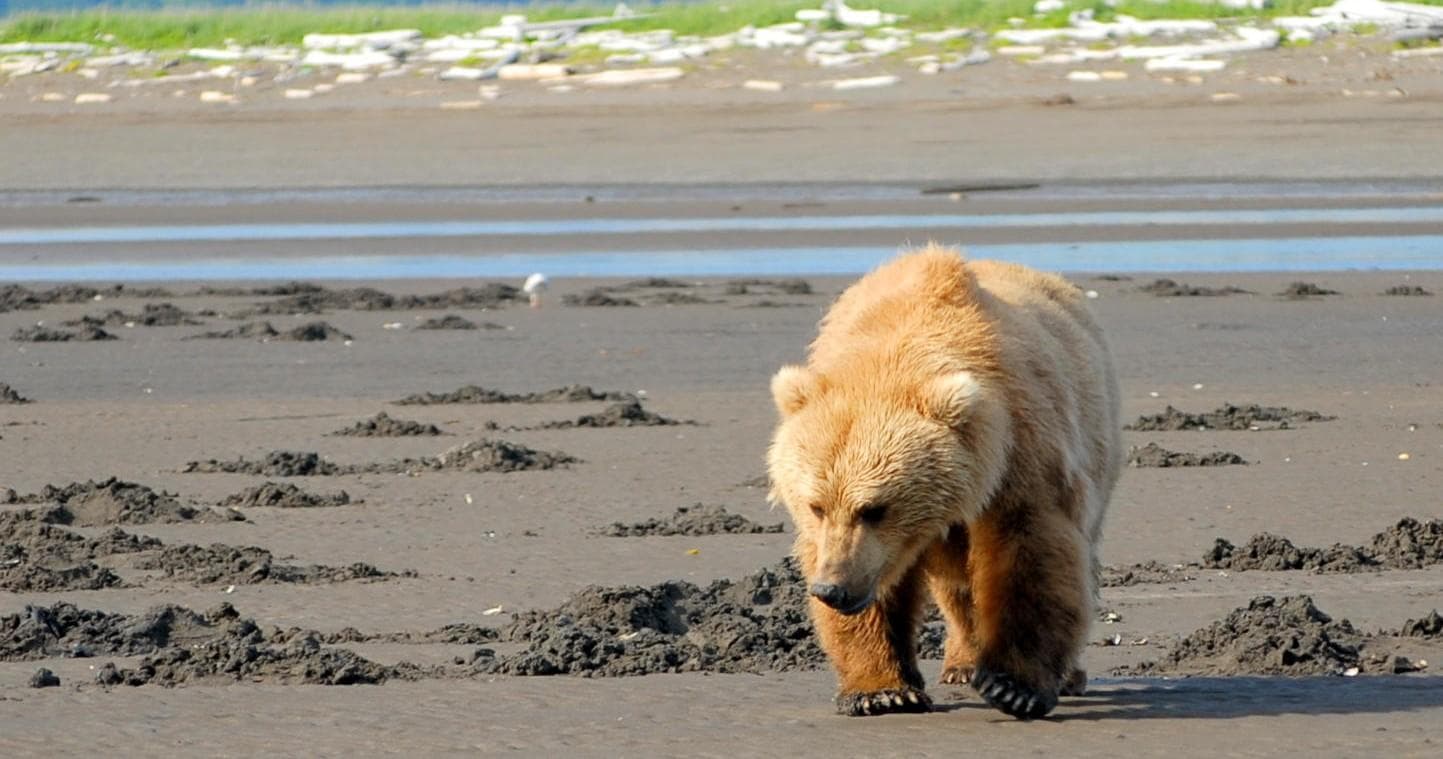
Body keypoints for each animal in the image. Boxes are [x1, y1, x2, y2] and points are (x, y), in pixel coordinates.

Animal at [766, 245, 1121, 720]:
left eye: (875, 508)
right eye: (815, 505)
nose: (832, 590)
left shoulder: (1022, 455)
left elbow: (1031, 554)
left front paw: (1014, 686)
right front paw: (881, 690)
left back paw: (1063, 675)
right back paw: (962, 662)